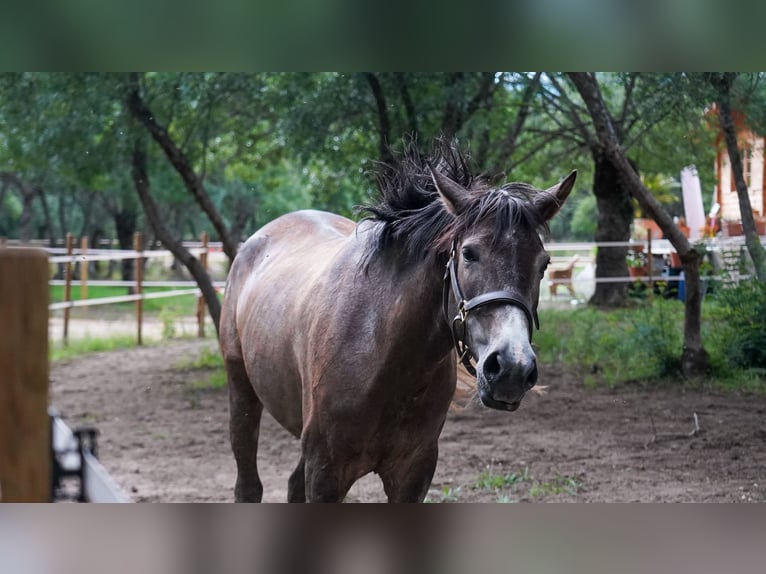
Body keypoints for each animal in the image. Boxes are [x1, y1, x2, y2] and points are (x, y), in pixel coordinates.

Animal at [219, 142, 572, 502]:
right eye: (469, 254)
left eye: (543, 264)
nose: (512, 368)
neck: (383, 354)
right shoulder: (325, 470)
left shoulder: (413, 473)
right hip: (242, 391)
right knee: (248, 484)